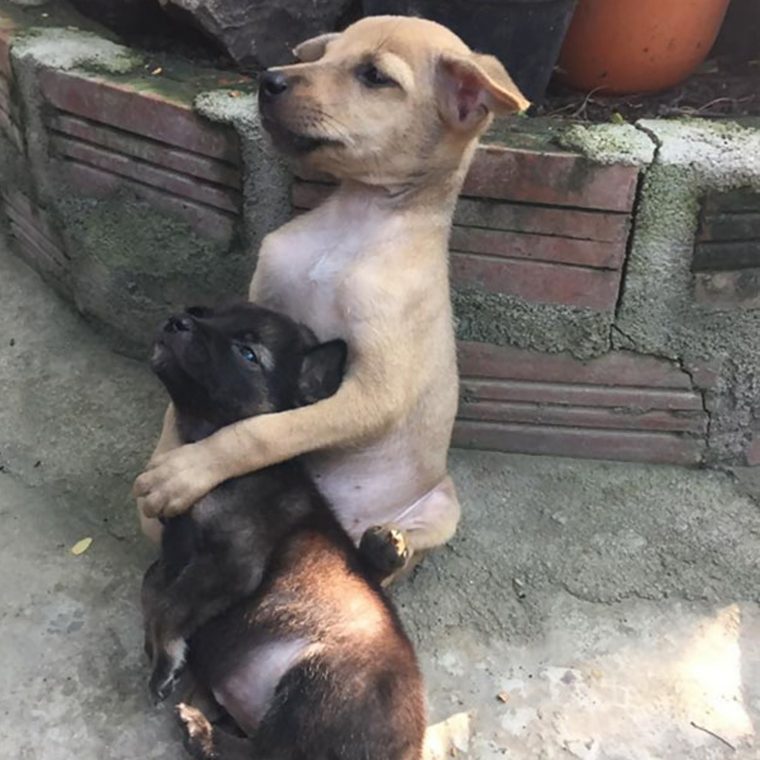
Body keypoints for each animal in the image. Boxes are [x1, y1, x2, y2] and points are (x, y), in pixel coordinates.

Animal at [135, 14, 528, 568]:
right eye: (324, 55)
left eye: (375, 76)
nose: (269, 79)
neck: (352, 223)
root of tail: (341, 528)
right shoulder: (263, 303)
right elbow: (183, 401)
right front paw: (172, 455)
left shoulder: (374, 391)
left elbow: (268, 430)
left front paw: (186, 471)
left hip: (444, 508)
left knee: (393, 560)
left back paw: (387, 549)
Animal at [142, 302, 428, 760]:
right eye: (204, 312)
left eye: (248, 354)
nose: (176, 321)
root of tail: (408, 750)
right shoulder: (177, 553)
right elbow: (153, 586)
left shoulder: (233, 561)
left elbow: (169, 603)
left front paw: (164, 660)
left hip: (319, 683)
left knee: (267, 752)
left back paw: (200, 732)